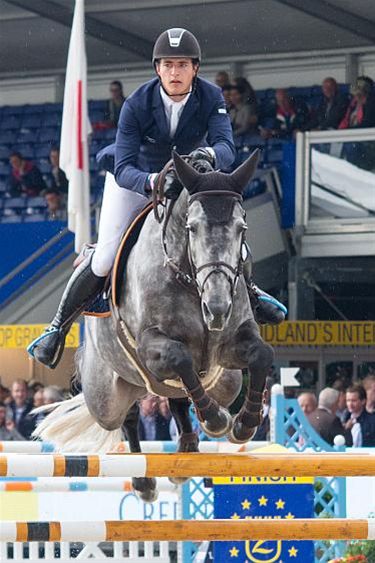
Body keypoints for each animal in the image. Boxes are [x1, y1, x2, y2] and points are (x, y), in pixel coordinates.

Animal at [34, 151, 274, 502]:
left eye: (241, 227)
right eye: (191, 228)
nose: (217, 309)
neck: (189, 280)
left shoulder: (231, 344)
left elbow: (262, 355)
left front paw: (245, 423)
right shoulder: (151, 346)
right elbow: (179, 357)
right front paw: (216, 419)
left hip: (225, 382)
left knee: (178, 397)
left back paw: (186, 451)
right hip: (105, 398)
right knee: (127, 416)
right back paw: (144, 481)